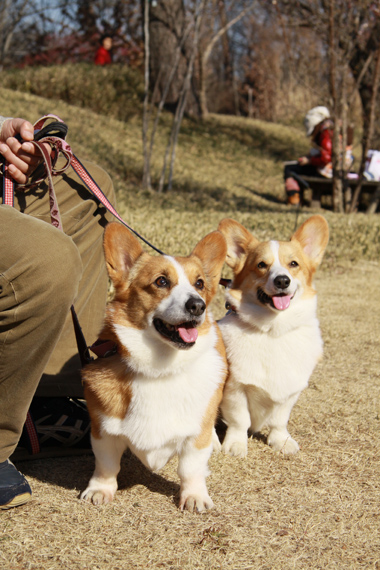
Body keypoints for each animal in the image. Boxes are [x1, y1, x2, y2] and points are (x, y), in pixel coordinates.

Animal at [80, 222, 227, 510]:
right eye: (161, 281)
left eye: (199, 284)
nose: (198, 305)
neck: (160, 368)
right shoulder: (103, 431)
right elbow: (106, 465)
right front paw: (100, 489)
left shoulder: (195, 438)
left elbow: (190, 468)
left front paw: (194, 496)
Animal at [217, 215, 330, 454]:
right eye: (261, 265)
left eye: (293, 264)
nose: (282, 281)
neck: (273, 329)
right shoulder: (235, 389)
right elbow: (240, 420)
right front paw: (236, 445)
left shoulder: (290, 392)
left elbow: (279, 420)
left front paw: (281, 441)